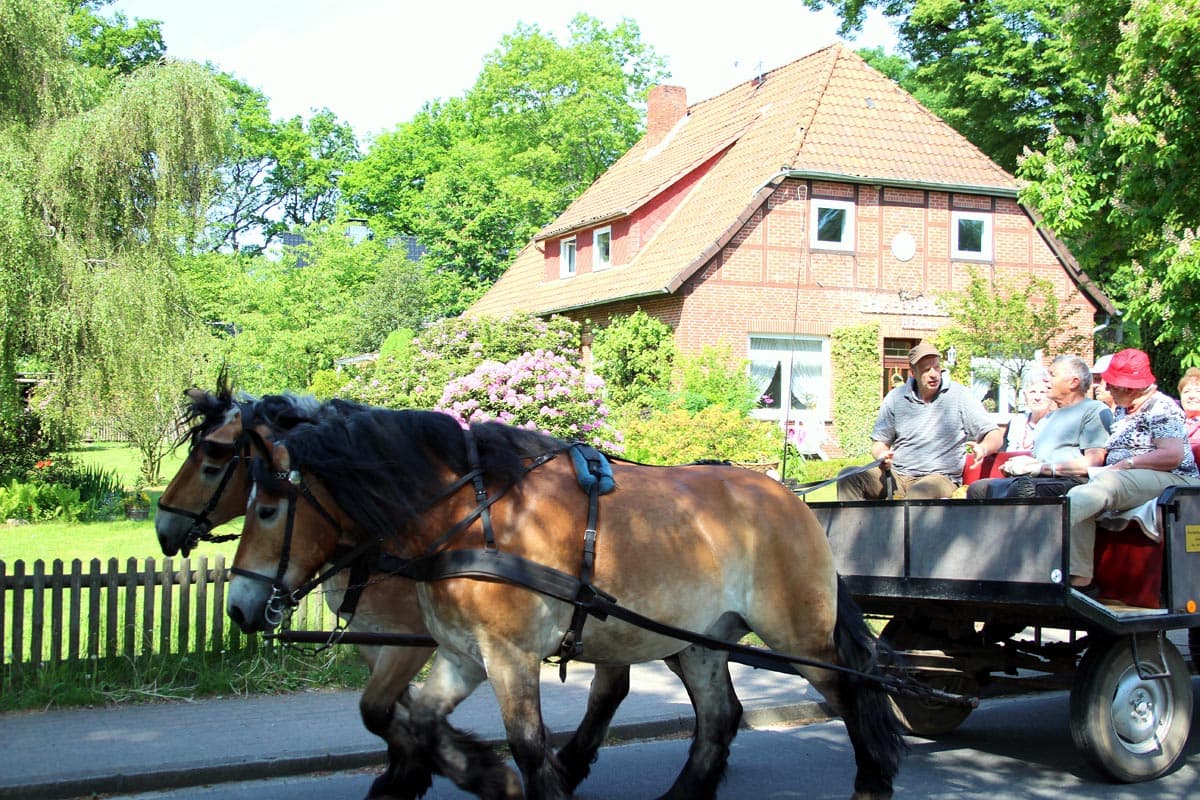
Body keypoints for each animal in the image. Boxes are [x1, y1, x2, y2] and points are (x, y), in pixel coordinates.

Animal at [229, 410, 902, 796]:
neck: (474, 518)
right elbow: (415, 720)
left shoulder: (510, 656)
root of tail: (789, 497)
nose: (239, 605)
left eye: (269, 508)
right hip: (699, 639)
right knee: (718, 717)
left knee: (851, 692)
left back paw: (872, 781)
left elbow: (529, 746)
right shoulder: (463, 656)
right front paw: (480, 773)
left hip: (798, 637)